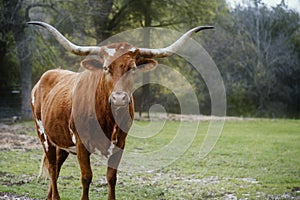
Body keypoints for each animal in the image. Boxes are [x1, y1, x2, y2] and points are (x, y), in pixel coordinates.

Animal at [28, 21, 213, 199]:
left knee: (57, 166)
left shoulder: (120, 143)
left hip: (62, 142)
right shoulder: (81, 144)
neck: (108, 119)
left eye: (132, 68)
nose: (119, 98)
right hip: (43, 135)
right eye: (105, 68)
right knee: (52, 168)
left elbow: (111, 177)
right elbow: (86, 177)